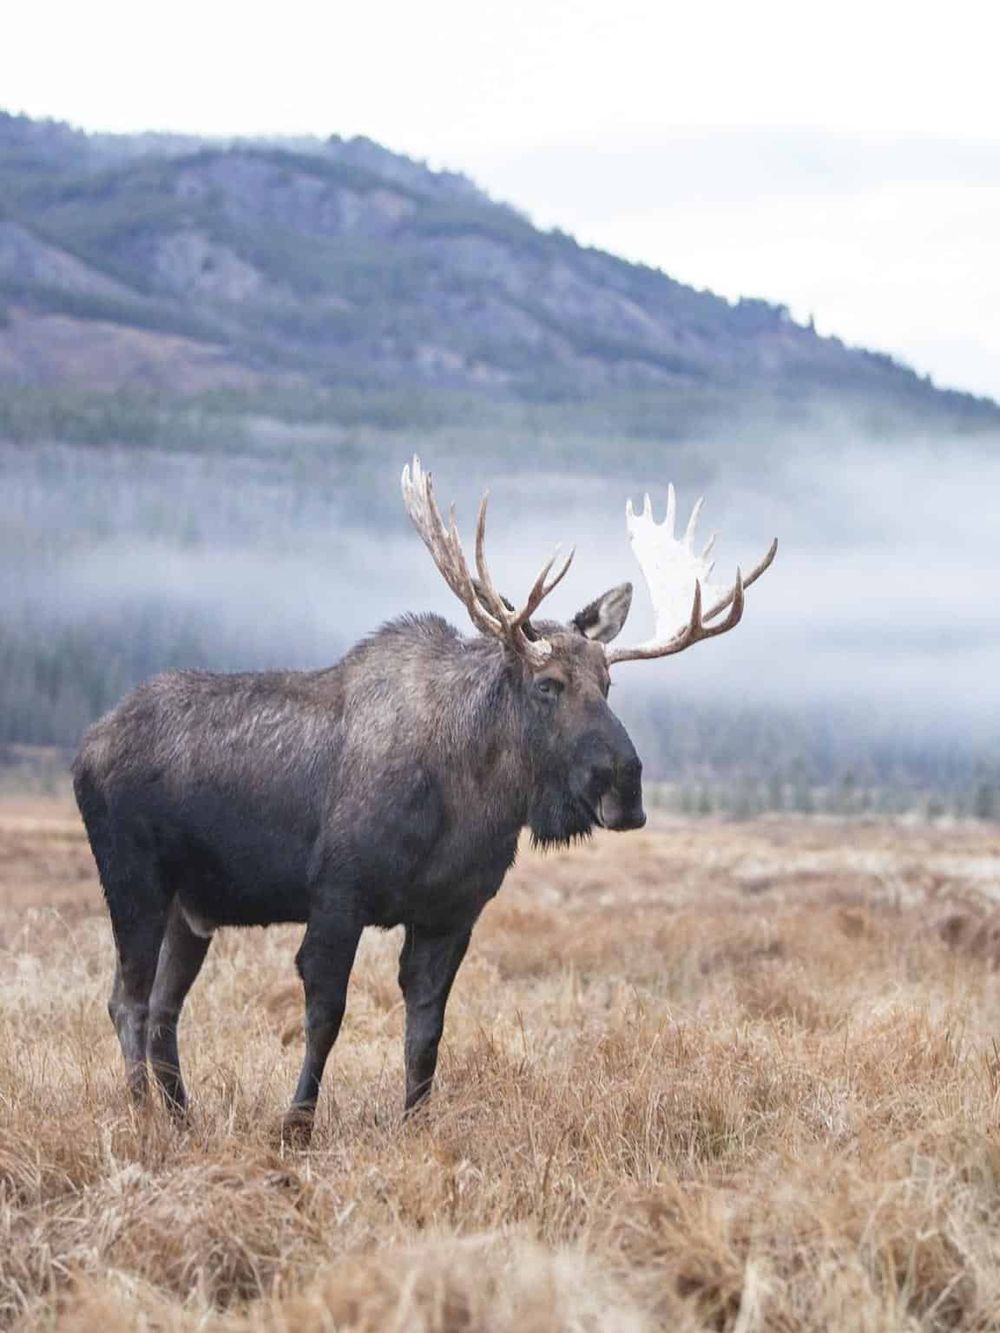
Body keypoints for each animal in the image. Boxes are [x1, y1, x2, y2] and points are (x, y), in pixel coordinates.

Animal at [72, 457, 776, 1140]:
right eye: (547, 684)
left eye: (608, 683)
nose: (625, 786)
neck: (470, 800)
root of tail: (88, 745)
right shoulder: (338, 895)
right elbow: (326, 1017)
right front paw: (295, 1127)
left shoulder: (451, 912)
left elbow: (426, 1033)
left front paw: (414, 1124)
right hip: (134, 882)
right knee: (127, 1001)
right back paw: (143, 1117)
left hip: (192, 908)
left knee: (163, 1008)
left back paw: (182, 1119)